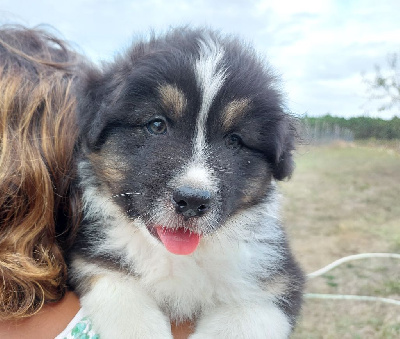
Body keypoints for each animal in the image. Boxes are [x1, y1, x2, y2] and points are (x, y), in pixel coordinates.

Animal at [70, 27, 304, 338]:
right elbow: (123, 300)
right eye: (157, 125)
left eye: (234, 140)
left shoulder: (275, 281)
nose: (192, 201)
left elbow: (242, 319)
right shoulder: (94, 259)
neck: (176, 257)